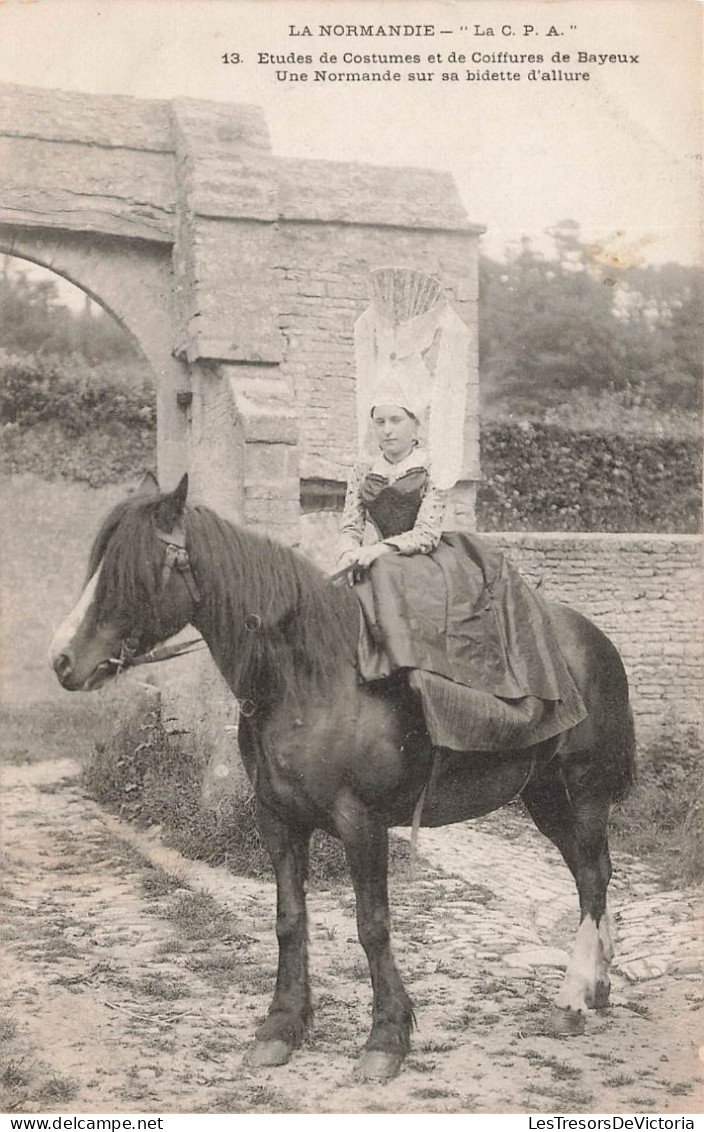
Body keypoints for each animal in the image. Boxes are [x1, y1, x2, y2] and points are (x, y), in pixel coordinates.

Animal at [48, 475, 633, 1077]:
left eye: (129, 570)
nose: (62, 660)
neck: (309, 678)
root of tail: (593, 639)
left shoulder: (362, 824)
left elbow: (372, 926)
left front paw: (387, 1037)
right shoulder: (278, 821)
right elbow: (289, 919)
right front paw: (282, 1025)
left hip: (584, 792)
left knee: (593, 877)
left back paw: (571, 999)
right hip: (546, 797)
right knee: (590, 875)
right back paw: (597, 985)